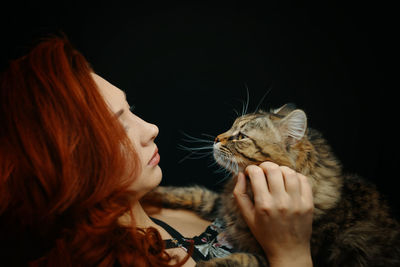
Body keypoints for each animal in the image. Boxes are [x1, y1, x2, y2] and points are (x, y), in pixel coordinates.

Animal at [146, 103, 400, 266]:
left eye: (241, 136)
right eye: (231, 126)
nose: (216, 138)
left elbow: (244, 258)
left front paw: (210, 264)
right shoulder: (221, 205)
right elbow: (192, 193)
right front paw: (151, 193)